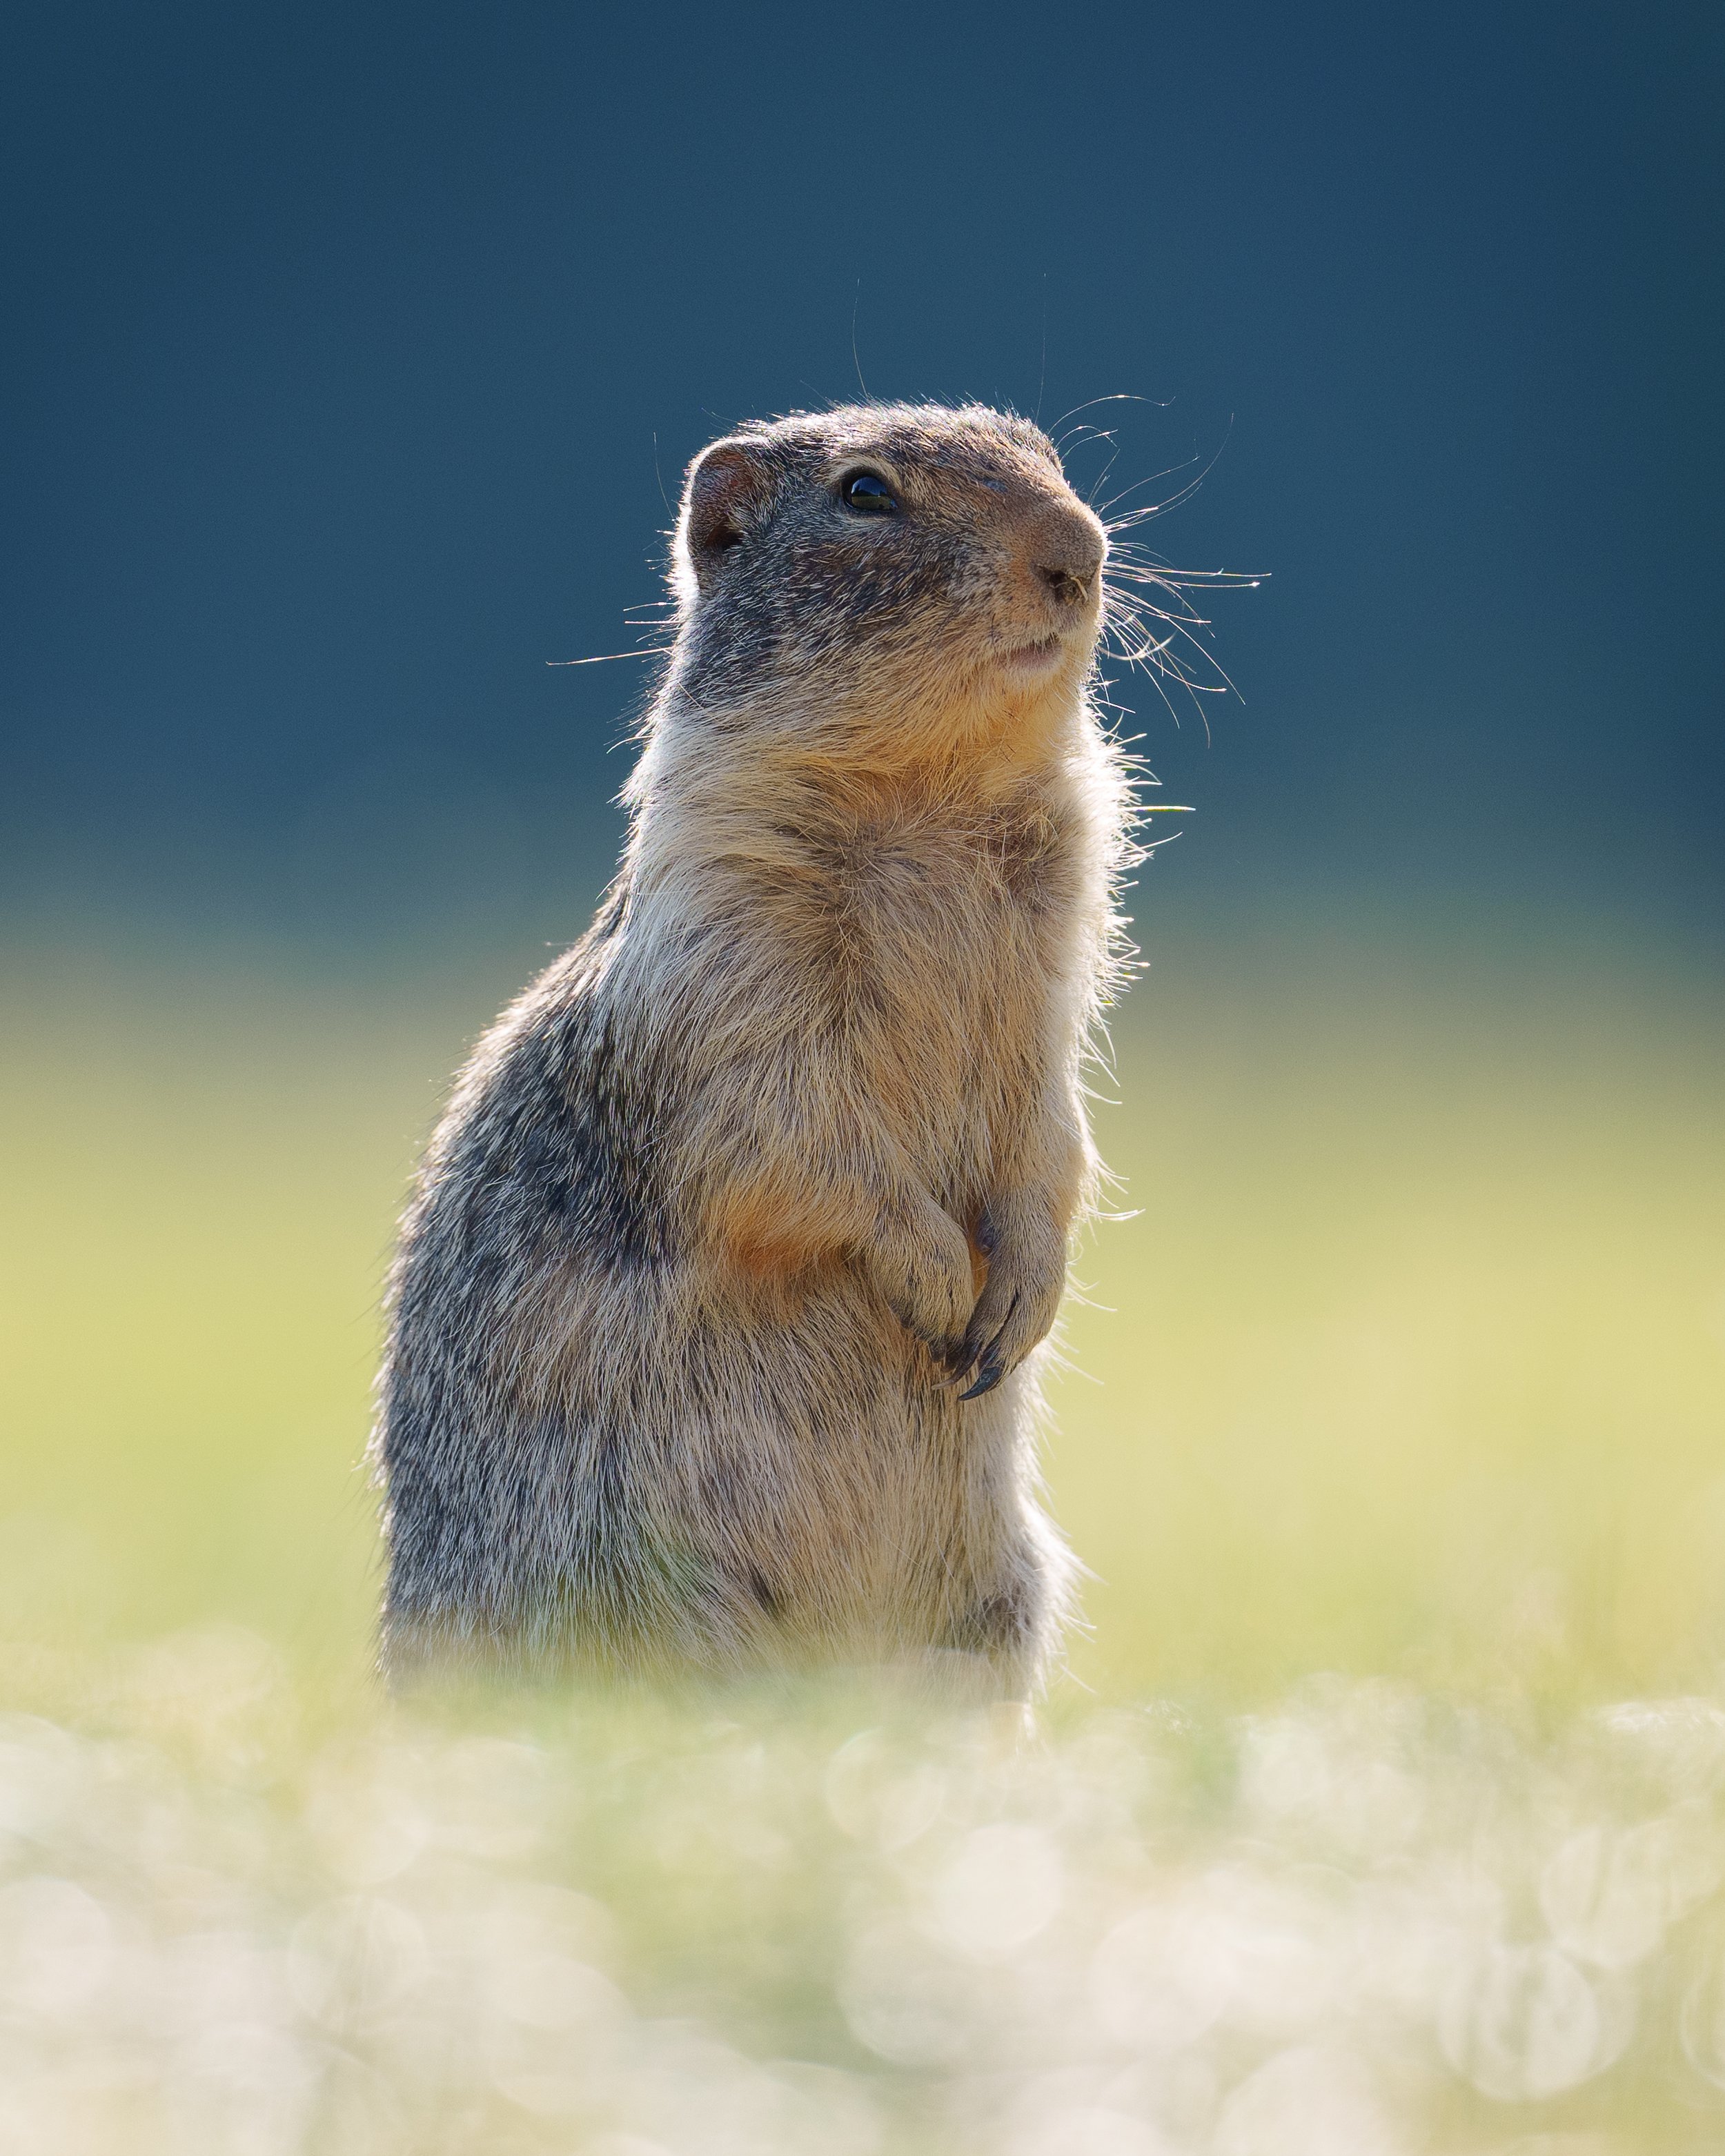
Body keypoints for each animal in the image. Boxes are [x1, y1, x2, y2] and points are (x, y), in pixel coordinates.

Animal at [374, 401, 1133, 1694]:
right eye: (865, 493)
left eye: (1046, 453)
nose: (1079, 551)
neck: (927, 800)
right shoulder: (723, 972)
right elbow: (786, 1137)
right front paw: (938, 1276)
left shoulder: (1052, 988)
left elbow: (1054, 1138)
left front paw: (1022, 1290)